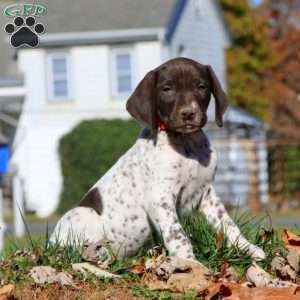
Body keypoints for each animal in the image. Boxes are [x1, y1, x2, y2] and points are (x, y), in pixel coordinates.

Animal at [51, 56, 264, 262]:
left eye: (201, 86)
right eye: (167, 89)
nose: (188, 113)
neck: (185, 144)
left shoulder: (206, 193)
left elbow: (228, 224)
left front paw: (248, 248)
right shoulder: (160, 198)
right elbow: (177, 234)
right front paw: (189, 262)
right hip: (82, 214)